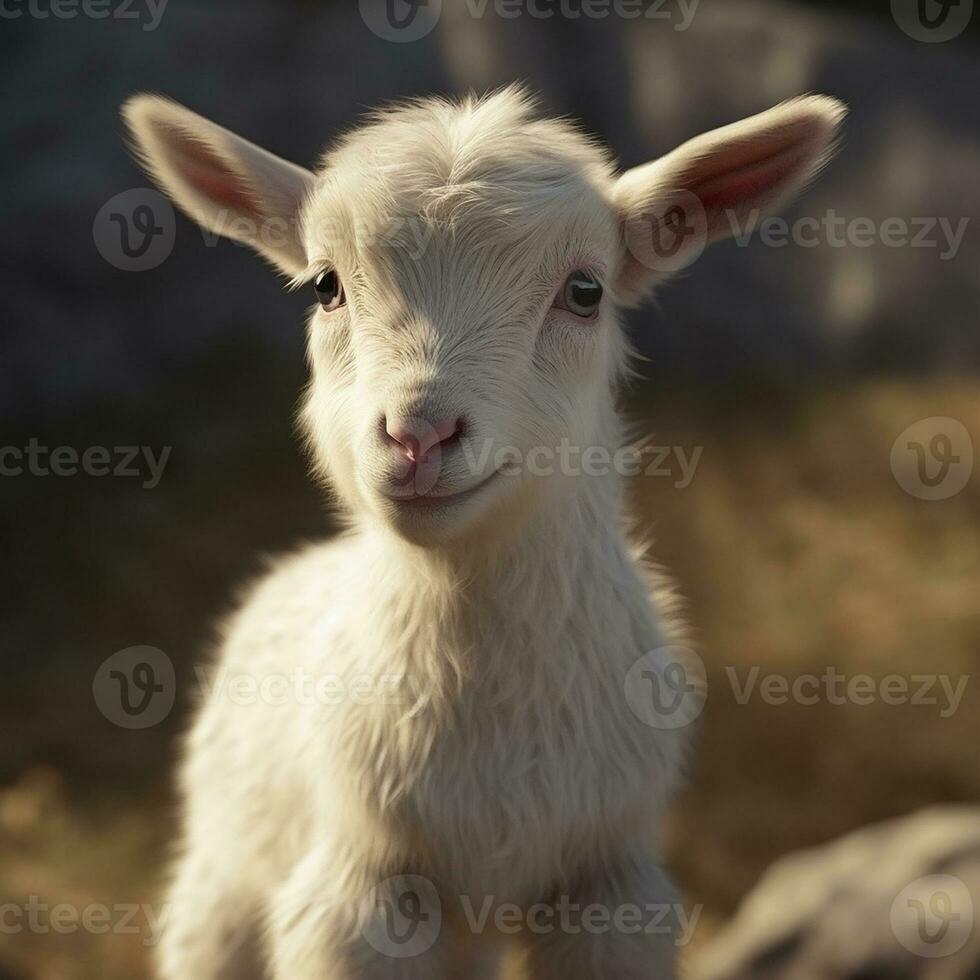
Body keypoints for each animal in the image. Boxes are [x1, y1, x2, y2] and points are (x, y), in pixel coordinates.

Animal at [122, 86, 844, 980]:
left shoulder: (608, 881)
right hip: (222, 875)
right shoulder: (360, 892)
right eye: (326, 286)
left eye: (585, 291)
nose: (418, 435)